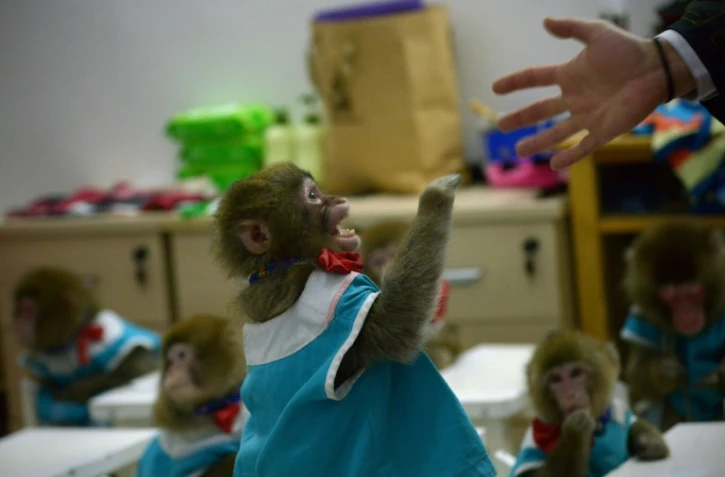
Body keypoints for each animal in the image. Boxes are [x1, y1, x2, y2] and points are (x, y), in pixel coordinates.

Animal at [12, 267, 161, 426]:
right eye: (18, 310)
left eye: (28, 311)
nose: (18, 323)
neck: (70, 341)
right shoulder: (41, 361)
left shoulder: (110, 340)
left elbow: (139, 368)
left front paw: (73, 392)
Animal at [510, 329, 669, 477]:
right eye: (555, 379)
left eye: (575, 373)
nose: (570, 395)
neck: (597, 426)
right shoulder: (534, 439)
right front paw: (574, 435)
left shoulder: (617, 410)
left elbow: (632, 422)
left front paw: (650, 440)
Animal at [620, 221, 725, 431]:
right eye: (670, 295)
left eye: (693, 291)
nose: (687, 315)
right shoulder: (642, 314)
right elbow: (636, 372)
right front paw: (665, 372)